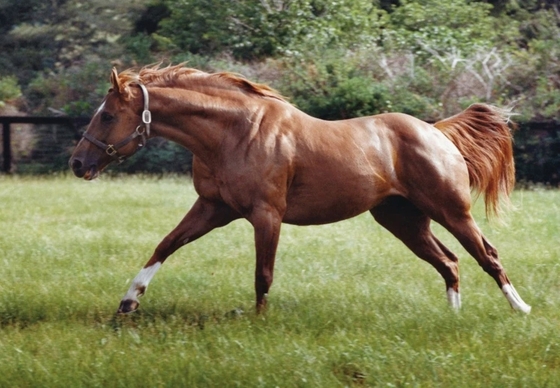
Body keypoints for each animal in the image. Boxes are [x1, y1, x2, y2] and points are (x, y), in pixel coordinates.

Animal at [69, 63, 528, 312]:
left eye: (107, 115)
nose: (77, 163)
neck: (235, 132)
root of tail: (437, 132)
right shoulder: (213, 207)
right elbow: (165, 245)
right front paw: (129, 301)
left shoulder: (266, 215)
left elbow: (263, 274)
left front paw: (259, 323)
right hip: (403, 220)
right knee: (449, 262)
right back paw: (453, 314)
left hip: (451, 211)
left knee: (486, 255)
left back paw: (520, 309)